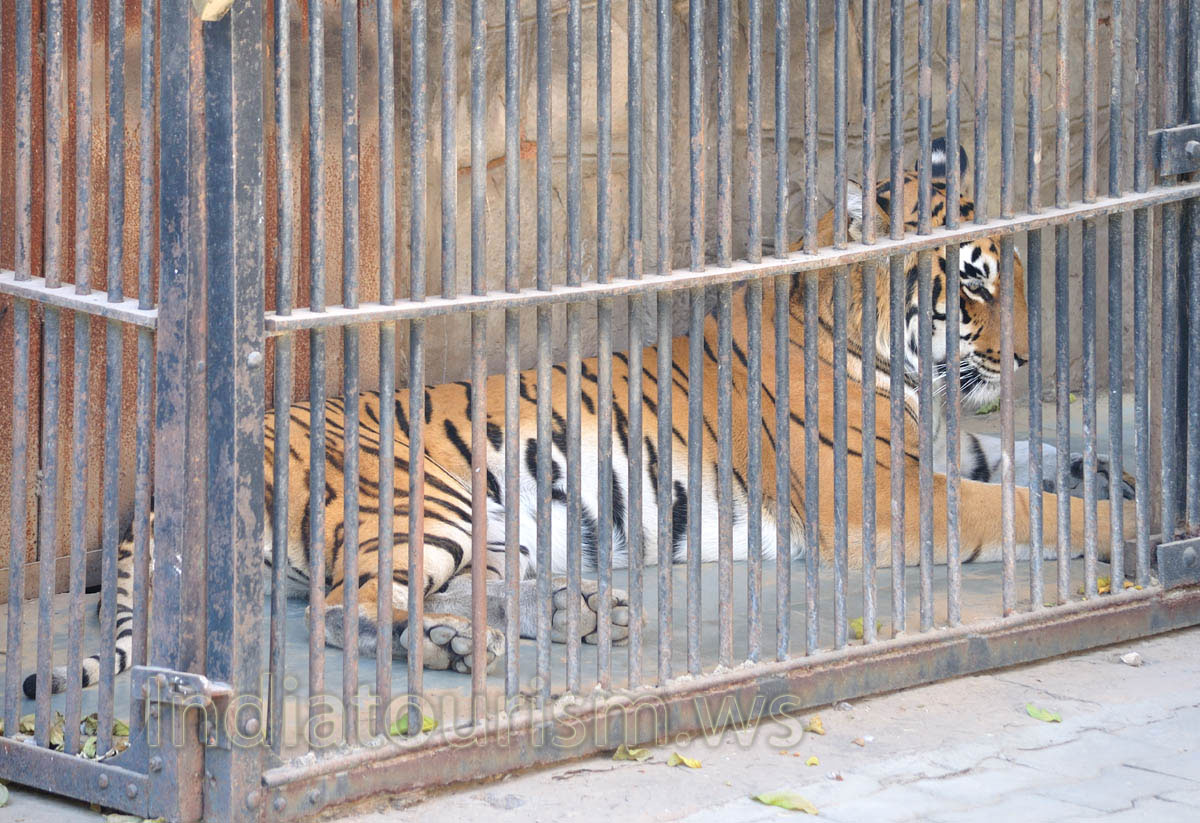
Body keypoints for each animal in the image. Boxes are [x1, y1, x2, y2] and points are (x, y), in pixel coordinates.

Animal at [26, 137, 1135, 696]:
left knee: (465, 592)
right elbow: (1038, 509)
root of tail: (171, 479)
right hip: (425, 503)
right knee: (348, 610)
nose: (1029, 357)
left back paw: (578, 614)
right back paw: (463, 649)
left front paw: (1123, 472)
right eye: (976, 283)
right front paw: (1135, 525)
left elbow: (1041, 455)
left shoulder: (945, 451)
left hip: (493, 526)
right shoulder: (889, 497)